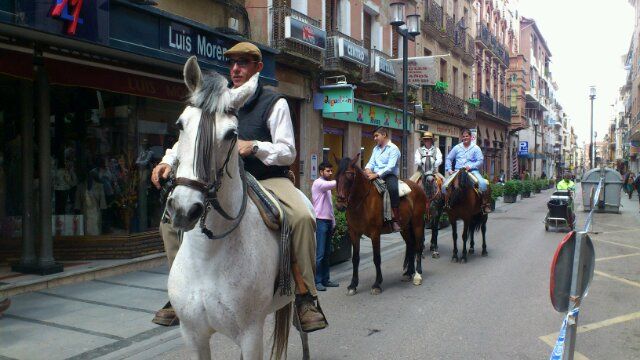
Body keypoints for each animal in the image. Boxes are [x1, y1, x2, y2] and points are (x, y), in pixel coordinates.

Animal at [164, 54, 306, 358]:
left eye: (232, 134)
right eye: (181, 124)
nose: (184, 209)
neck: (207, 258)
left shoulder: (251, 335)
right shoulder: (192, 335)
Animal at [332, 155, 428, 296]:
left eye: (350, 176)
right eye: (336, 177)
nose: (340, 205)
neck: (362, 202)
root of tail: (418, 187)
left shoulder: (375, 234)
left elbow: (377, 258)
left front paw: (377, 284)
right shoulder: (353, 233)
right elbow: (355, 259)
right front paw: (353, 285)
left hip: (417, 223)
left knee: (418, 246)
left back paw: (417, 275)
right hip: (405, 227)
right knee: (410, 245)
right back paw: (408, 273)